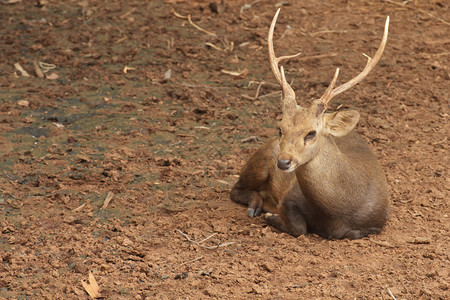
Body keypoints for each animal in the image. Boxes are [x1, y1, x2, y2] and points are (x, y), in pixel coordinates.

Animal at [230, 8, 388, 240]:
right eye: (280, 128)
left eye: (311, 133)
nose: (283, 162)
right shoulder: (290, 196)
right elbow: (299, 228)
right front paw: (271, 216)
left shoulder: (380, 221)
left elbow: (352, 233)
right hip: (259, 161)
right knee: (235, 188)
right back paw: (256, 205)